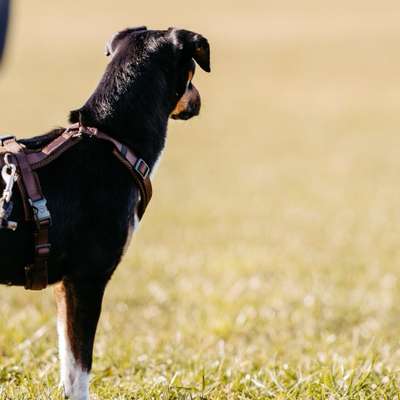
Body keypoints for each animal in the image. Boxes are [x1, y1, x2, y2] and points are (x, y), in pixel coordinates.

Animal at [0, 26, 211, 398]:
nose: (199, 98)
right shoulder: (87, 279)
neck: (112, 140)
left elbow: (66, 361)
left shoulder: (65, 287)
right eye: (193, 74)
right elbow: (79, 369)